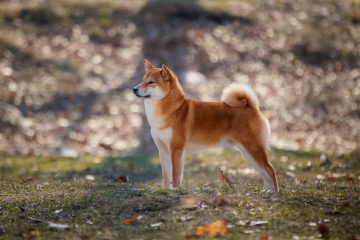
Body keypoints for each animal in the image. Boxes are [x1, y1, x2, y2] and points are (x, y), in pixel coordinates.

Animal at [133, 60, 278, 193]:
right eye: (142, 80)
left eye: (151, 82)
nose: (134, 89)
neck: (171, 110)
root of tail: (252, 106)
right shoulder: (163, 150)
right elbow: (166, 175)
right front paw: (166, 190)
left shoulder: (176, 149)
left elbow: (175, 174)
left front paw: (175, 189)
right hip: (247, 152)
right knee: (264, 172)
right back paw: (267, 191)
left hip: (253, 149)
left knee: (270, 170)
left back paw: (274, 192)